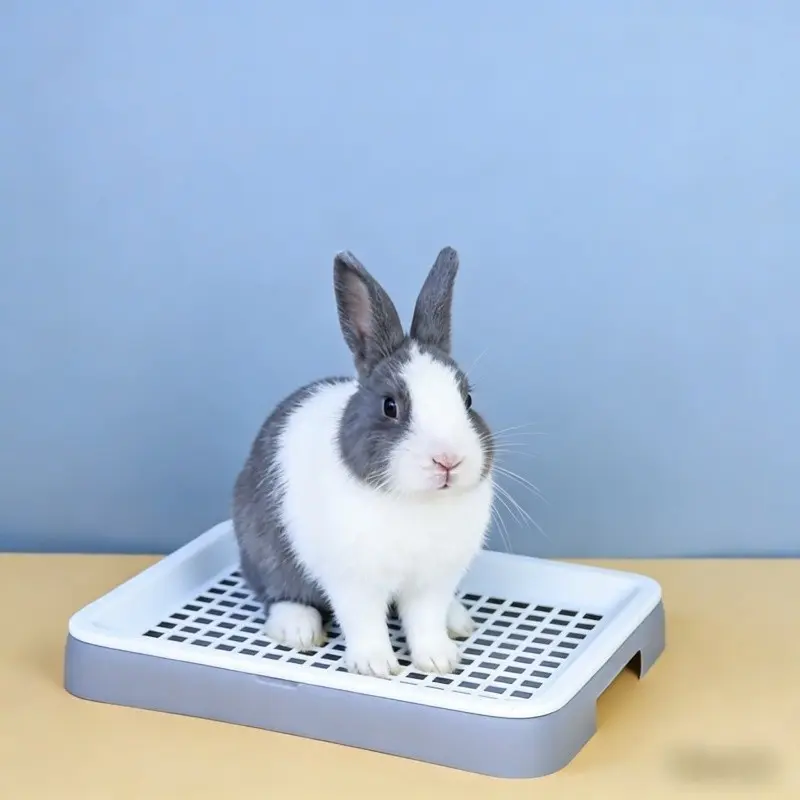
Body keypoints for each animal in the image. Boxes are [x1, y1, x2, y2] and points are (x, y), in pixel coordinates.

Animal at [232, 246, 495, 678]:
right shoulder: (354, 582)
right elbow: (365, 621)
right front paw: (376, 666)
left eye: (468, 400)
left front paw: (439, 660)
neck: (416, 502)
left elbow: (425, 621)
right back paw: (298, 629)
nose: (448, 461)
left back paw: (459, 621)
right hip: (263, 551)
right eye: (390, 407)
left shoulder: (433, 582)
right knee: (278, 593)